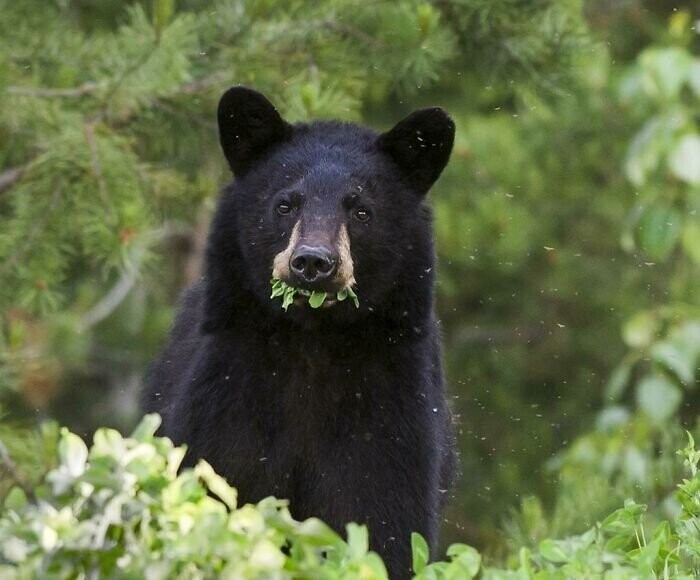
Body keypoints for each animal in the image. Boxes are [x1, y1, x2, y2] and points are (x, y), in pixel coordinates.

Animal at [145, 85, 456, 576]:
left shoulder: (388, 408)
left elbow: (382, 519)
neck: (314, 341)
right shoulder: (229, 391)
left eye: (361, 210)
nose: (313, 261)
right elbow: (216, 481)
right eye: (285, 204)